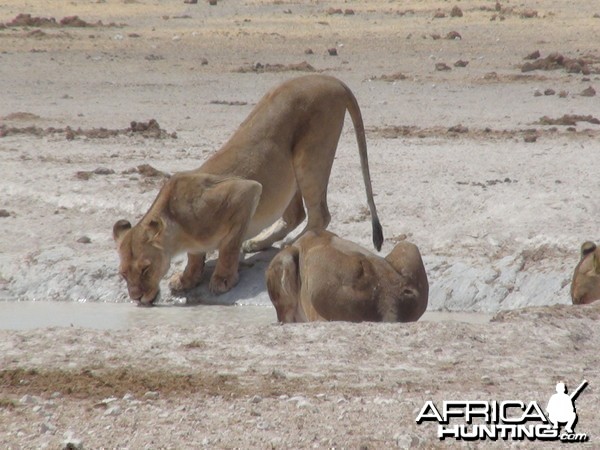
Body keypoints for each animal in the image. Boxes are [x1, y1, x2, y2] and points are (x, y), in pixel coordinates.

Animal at [113, 74, 380, 306]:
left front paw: (222, 279)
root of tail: (330, 79)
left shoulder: (244, 192)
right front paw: (187, 278)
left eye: (145, 268)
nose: (136, 297)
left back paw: (291, 244)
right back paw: (259, 242)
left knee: (319, 215)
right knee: (296, 214)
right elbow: (195, 256)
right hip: (288, 172)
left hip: (310, 156)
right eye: (124, 274)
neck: (179, 230)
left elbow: (229, 246)